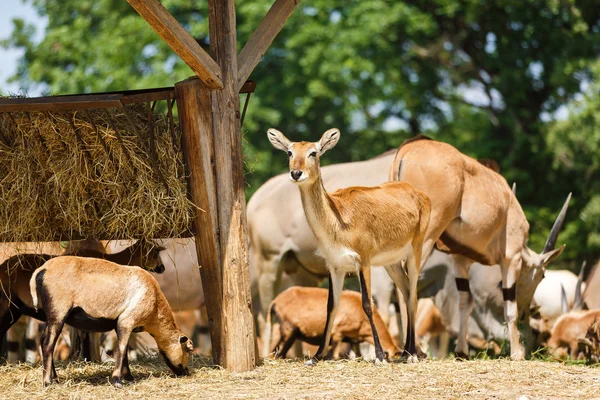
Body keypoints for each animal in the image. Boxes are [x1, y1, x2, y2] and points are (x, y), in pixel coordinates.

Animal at [29, 256, 192, 388]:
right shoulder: (127, 321)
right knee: (48, 345)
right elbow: (121, 349)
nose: (186, 372)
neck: (156, 310)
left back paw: (54, 378)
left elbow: (124, 351)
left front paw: (128, 377)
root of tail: (41, 270)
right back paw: (47, 382)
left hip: (51, 316)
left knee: (43, 341)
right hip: (58, 312)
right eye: (188, 350)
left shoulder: (119, 324)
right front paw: (117, 380)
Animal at [264, 288, 400, 360]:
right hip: (288, 330)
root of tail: (275, 301)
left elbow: (357, 354)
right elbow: (334, 355)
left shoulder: (354, 339)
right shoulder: (337, 333)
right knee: (278, 353)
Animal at [390, 136, 572, 360]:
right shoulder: (511, 257)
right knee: (408, 282)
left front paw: (461, 351)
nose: (526, 312)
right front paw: (517, 353)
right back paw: (412, 350)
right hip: (425, 239)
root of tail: (408, 149)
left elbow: (465, 302)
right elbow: (508, 307)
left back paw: (408, 350)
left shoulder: (460, 259)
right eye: (542, 276)